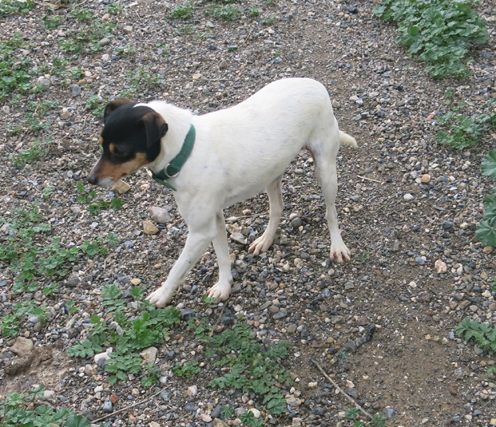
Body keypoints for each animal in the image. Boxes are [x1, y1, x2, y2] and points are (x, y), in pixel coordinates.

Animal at [87, 78, 357, 307]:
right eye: (101, 145)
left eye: (120, 151)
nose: (90, 180)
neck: (185, 150)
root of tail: (316, 84)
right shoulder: (214, 219)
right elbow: (222, 255)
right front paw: (224, 286)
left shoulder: (199, 231)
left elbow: (178, 267)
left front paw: (162, 295)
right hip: (271, 173)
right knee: (277, 208)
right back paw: (265, 240)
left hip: (325, 170)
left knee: (331, 212)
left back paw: (337, 246)